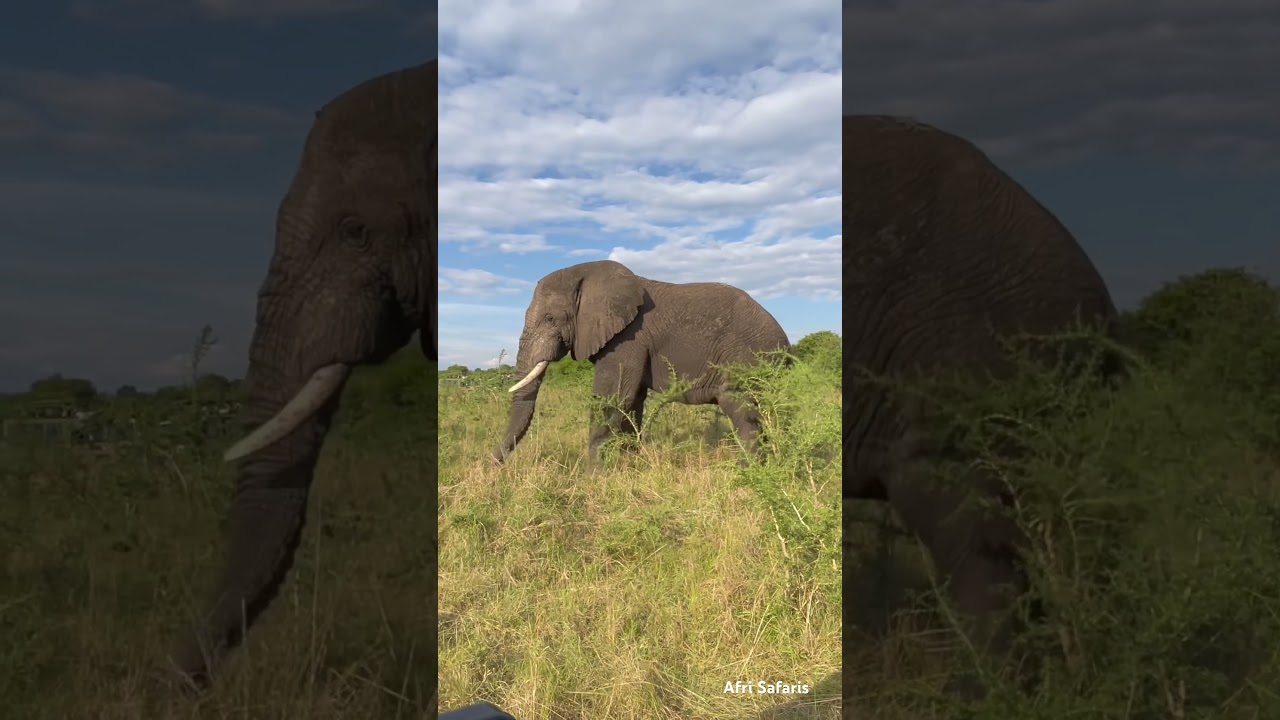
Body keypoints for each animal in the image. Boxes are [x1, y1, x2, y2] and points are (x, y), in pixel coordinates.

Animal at [492, 260, 790, 464]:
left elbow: (612, 399)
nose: (493, 465)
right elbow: (632, 402)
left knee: (740, 409)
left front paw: (592, 478)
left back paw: (748, 470)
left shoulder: (628, 338)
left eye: (550, 319)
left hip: (747, 356)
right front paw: (628, 467)